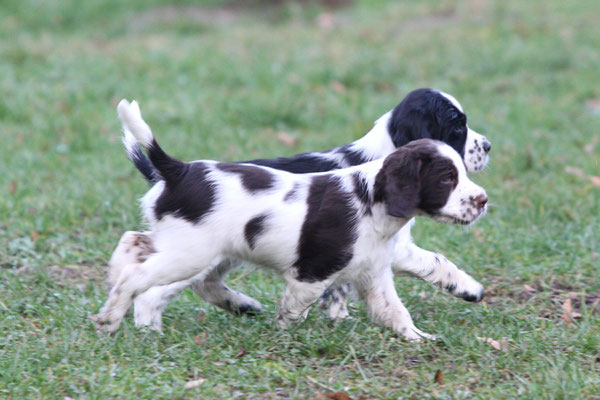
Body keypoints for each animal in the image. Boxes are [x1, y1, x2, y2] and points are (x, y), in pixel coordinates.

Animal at [95, 98, 488, 340]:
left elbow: (397, 312)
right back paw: (115, 318)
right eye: (446, 178)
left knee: (135, 245)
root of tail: (176, 169)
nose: (483, 200)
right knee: (141, 283)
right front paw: (287, 334)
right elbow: (296, 309)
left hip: (190, 247)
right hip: (190, 254)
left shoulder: (375, 273)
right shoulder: (311, 274)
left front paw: (422, 338)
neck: (371, 197)